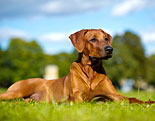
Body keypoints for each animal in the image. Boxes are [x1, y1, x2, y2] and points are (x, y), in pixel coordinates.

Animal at [0, 29, 154, 104]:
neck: (91, 70)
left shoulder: (113, 94)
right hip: (16, 92)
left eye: (106, 38)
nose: (110, 49)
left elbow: (132, 99)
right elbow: (84, 101)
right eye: (93, 39)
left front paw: (148, 102)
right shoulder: (77, 95)